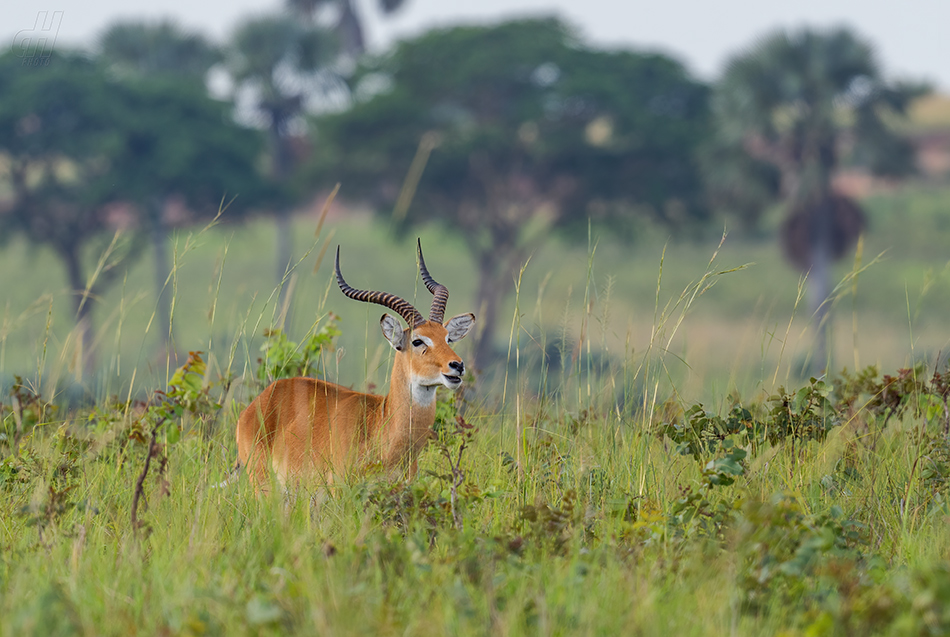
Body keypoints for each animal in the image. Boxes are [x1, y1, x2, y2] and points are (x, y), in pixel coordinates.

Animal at [236, 240, 474, 492]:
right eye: (417, 341)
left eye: (447, 338)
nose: (457, 365)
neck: (380, 425)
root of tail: (260, 400)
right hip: (262, 484)